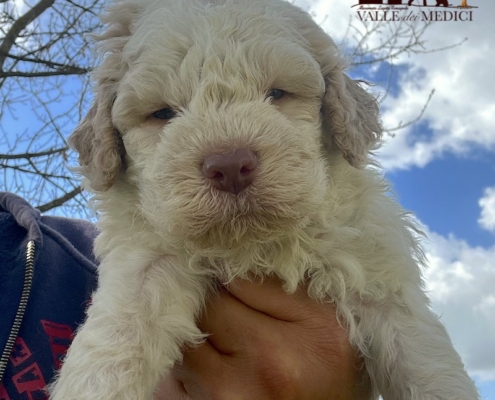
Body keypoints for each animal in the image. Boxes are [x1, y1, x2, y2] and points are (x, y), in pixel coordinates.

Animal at [47, 0, 480, 398]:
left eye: (277, 93)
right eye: (163, 113)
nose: (230, 165)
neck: (253, 246)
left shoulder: (379, 272)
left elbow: (425, 362)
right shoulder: (144, 261)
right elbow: (114, 339)